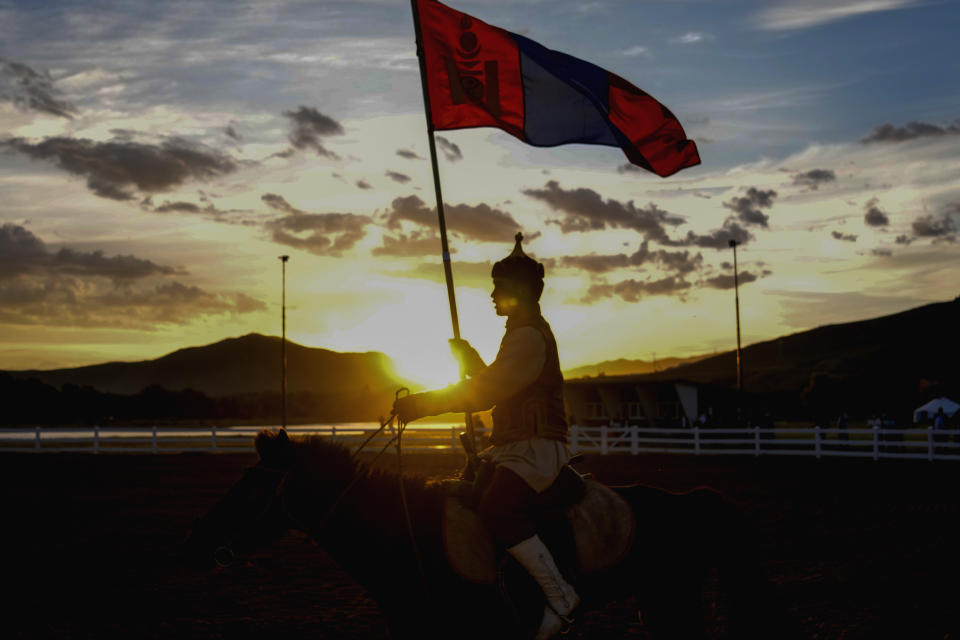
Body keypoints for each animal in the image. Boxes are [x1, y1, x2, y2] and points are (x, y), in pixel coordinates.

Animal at [184, 430, 800, 640]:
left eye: (250, 489)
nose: (198, 541)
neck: (408, 536)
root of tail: (691, 499)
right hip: (659, 600)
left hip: (673, 601)